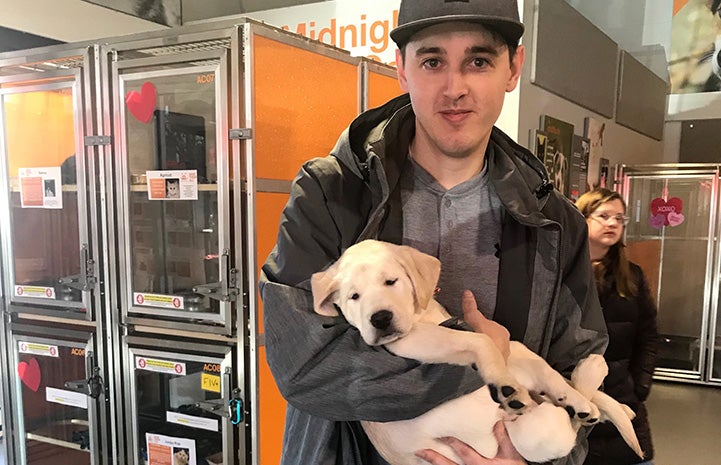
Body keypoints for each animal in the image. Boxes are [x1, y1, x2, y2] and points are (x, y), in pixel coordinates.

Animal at [310, 239, 640, 464]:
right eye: (353, 297)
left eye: (391, 281)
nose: (379, 319)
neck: (425, 317)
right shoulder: (407, 341)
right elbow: (480, 341)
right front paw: (507, 387)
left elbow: (545, 370)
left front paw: (569, 396)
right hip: (539, 431)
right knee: (567, 424)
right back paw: (586, 376)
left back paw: (592, 400)